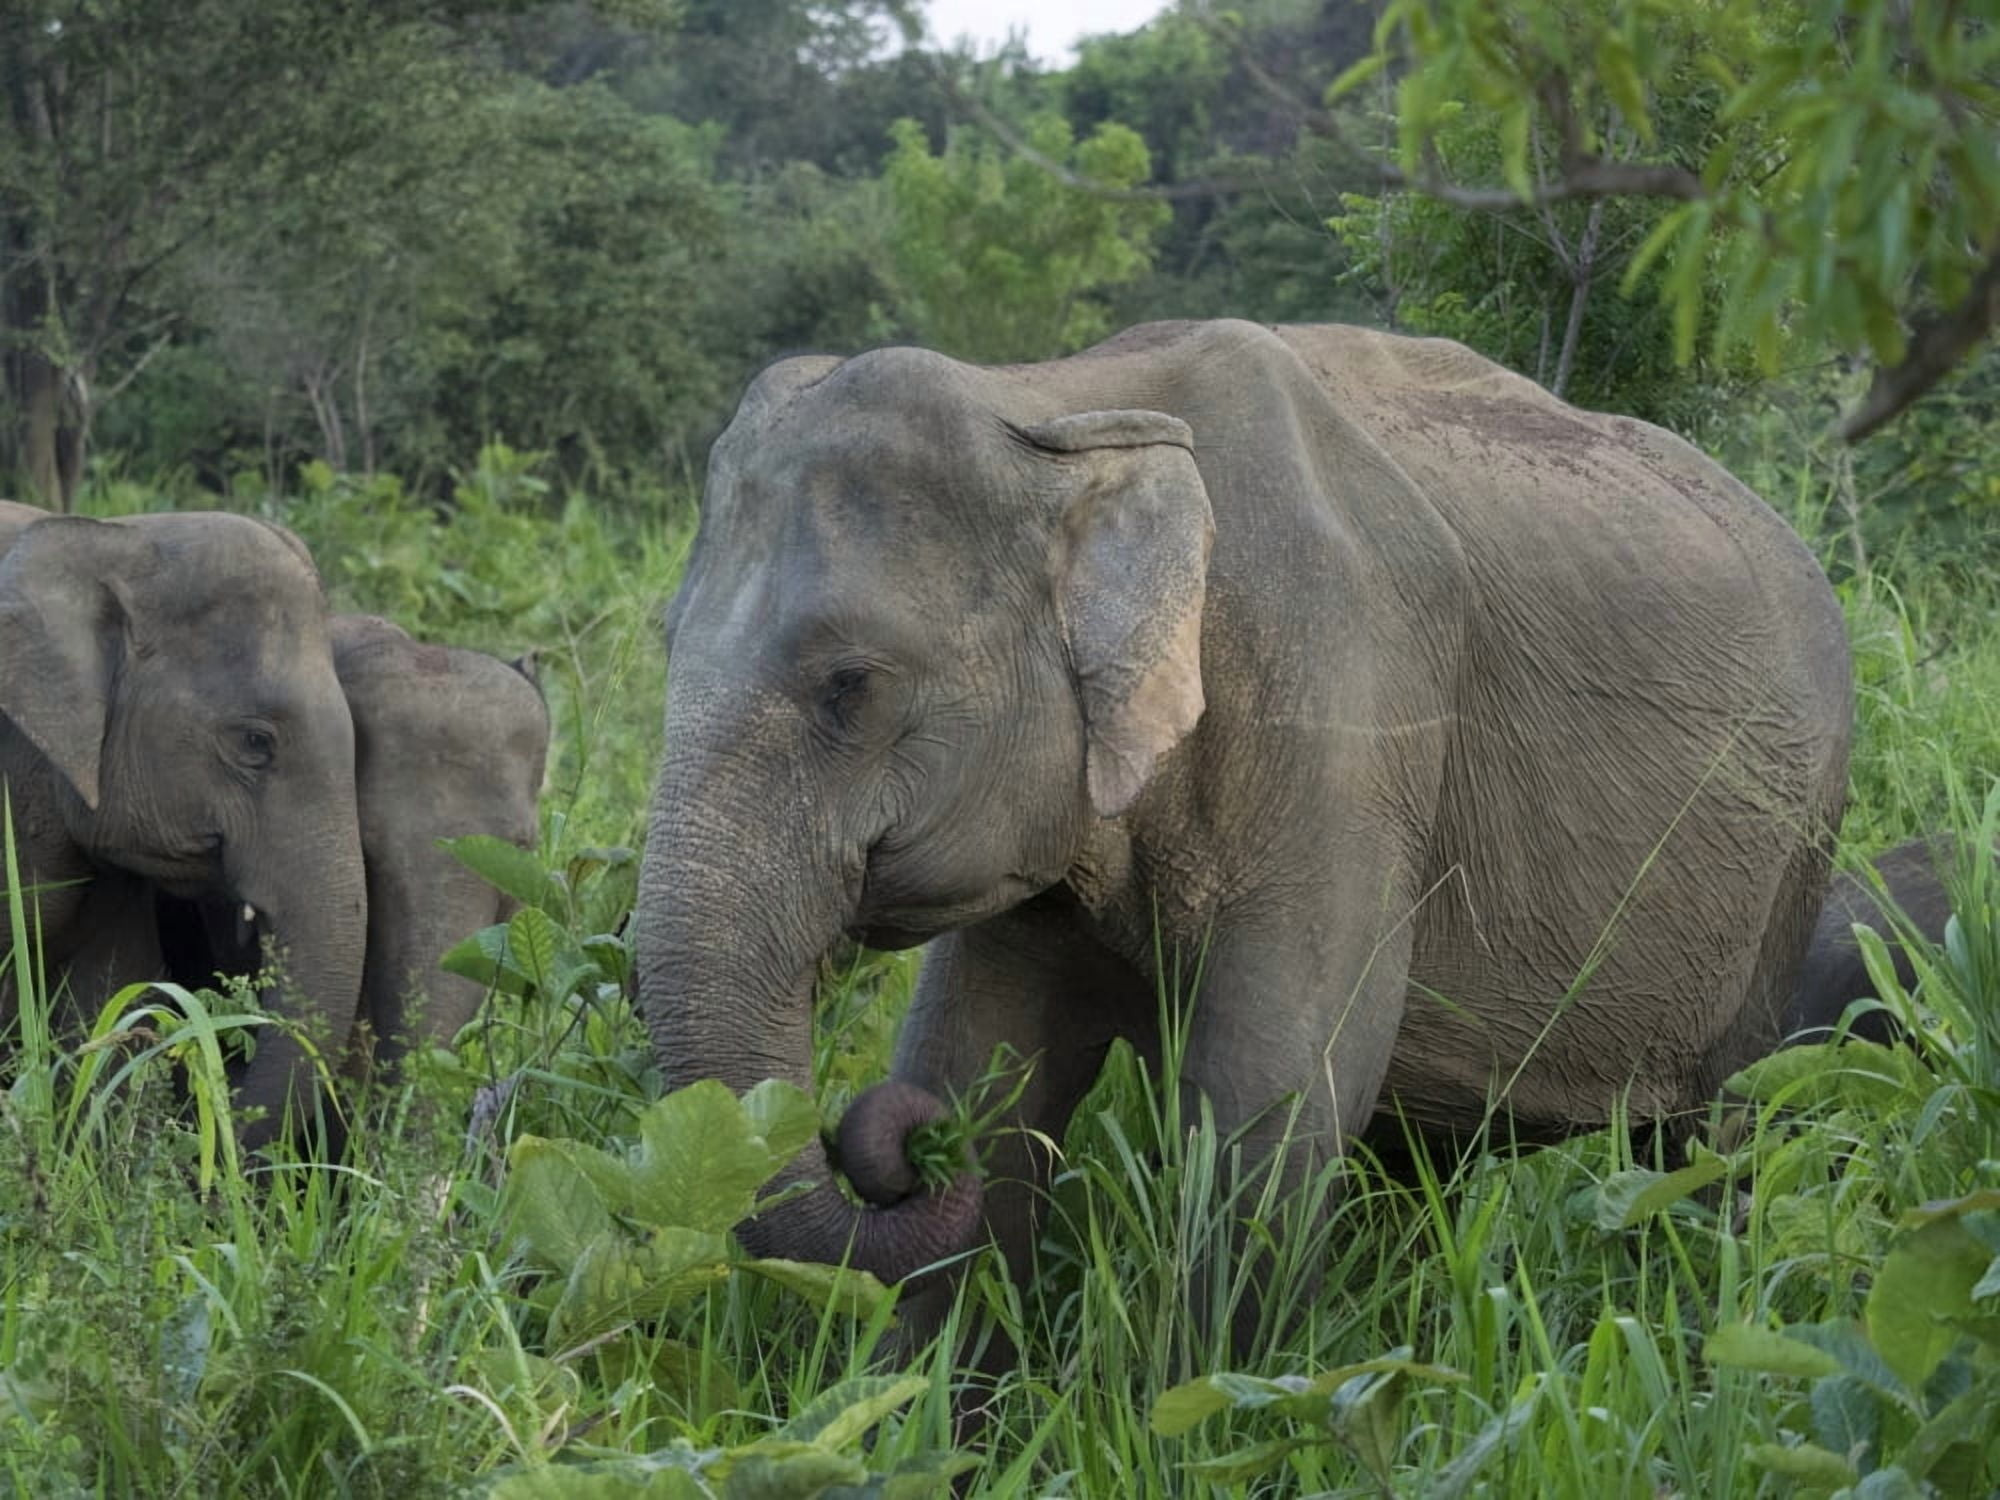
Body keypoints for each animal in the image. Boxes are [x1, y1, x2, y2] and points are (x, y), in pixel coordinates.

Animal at [635, 318, 1852, 1340]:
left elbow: (1267, 1117)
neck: (1056, 404)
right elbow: (980, 1068)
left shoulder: (1343, 717)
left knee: (1715, 1138)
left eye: (850, 686)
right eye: (664, 644)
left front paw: (1209, 1411)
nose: (893, 1146)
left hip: (1793, 860)